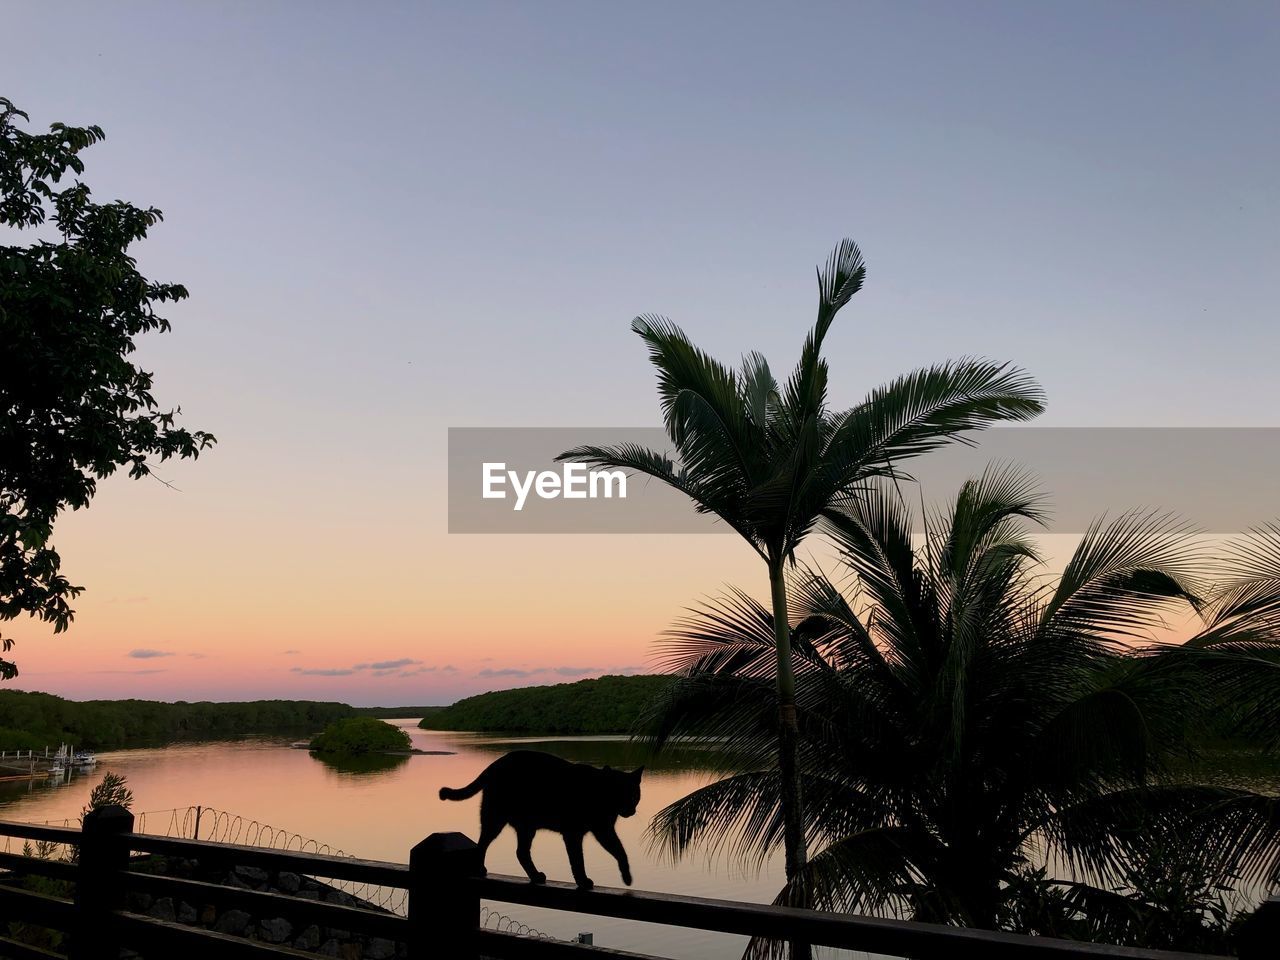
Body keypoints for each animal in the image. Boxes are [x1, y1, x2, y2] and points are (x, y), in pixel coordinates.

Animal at [437, 752, 640, 896]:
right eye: (621, 793)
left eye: (635, 796)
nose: (631, 810)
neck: (599, 793)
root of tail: (496, 763)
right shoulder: (575, 833)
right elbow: (578, 860)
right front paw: (583, 881)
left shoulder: (603, 830)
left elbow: (620, 851)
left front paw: (627, 877)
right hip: (495, 820)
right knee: (483, 844)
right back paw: (480, 869)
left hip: (526, 827)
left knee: (521, 852)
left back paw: (535, 876)